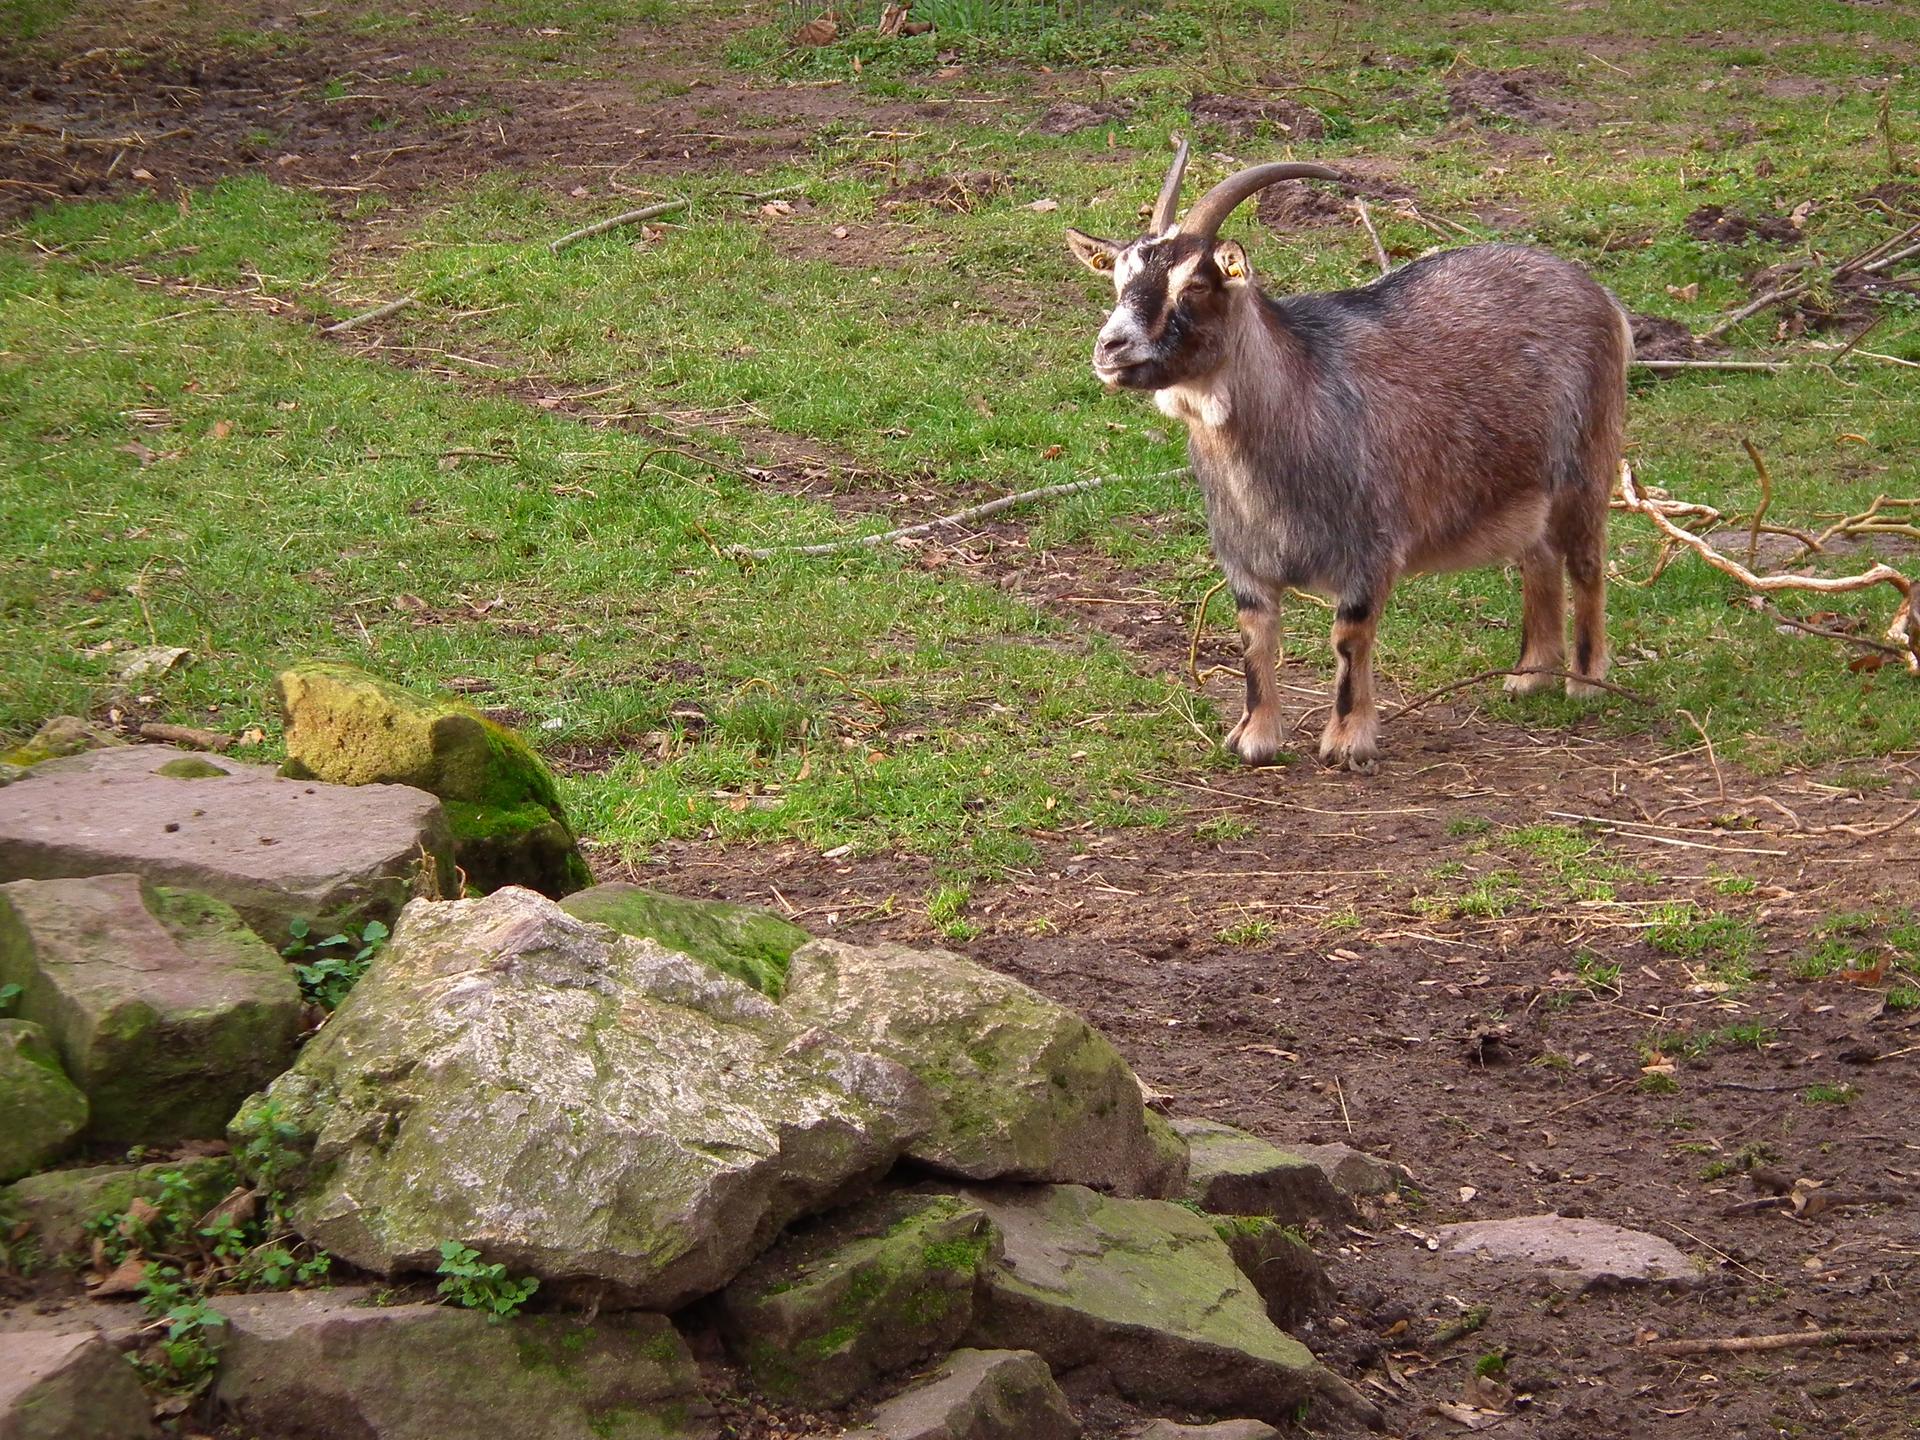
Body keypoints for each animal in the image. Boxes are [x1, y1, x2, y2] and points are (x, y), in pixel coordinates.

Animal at [1075, 144, 1628, 771]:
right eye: (1119, 279)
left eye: (1194, 283)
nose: (1111, 347)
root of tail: (1594, 291)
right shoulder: (1245, 559)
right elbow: (1254, 637)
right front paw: (1254, 737)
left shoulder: (1370, 548)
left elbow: (1350, 637)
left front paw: (1346, 741)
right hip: (1522, 485)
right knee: (1538, 559)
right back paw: (1529, 674)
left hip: (1587, 462)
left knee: (1585, 560)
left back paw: (1584, 680)